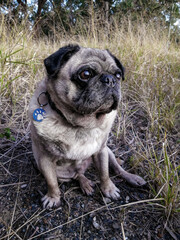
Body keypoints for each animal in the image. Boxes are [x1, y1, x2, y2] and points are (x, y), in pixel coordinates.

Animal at [28, 44, 146, 208]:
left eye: (117, 75)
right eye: (85, 74)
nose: (110, 79)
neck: (80, 123)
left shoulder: (101, 152)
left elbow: (104, 174)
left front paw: (108, 189)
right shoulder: (45, 160)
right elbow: (51, 182)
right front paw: (52, 197)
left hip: (108, 152)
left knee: (117, 169)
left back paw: (132, 178)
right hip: (58, 172)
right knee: (77, 175)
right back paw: (85, 184)